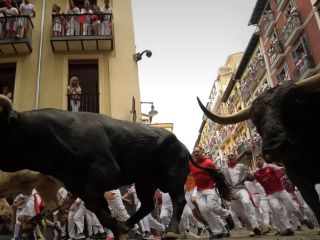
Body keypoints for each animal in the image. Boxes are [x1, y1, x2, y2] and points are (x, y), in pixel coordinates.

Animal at [0, 94, 230, 239]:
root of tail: (182, 145)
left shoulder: (104, 172)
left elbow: (93, 203)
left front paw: (117, 227)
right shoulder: (77, 183)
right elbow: (96, 205)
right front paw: (119, 227)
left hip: (174, 176)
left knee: (179, 200)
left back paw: (171, 231)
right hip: (145, 182)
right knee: (147, 205)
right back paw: (128, 223)